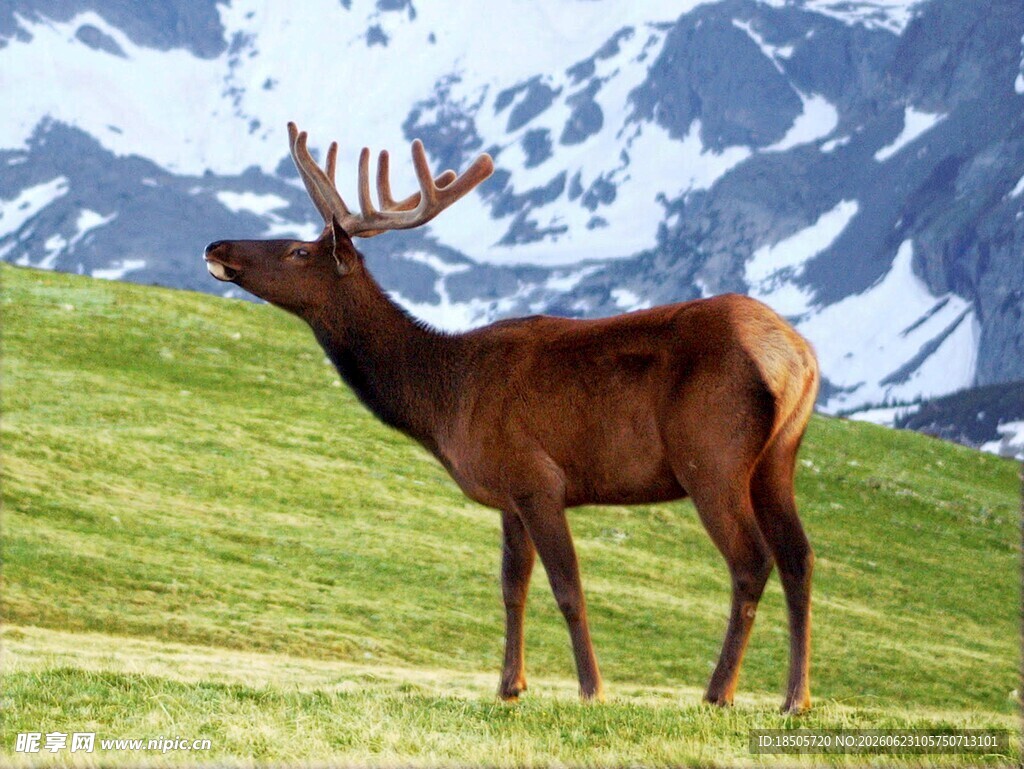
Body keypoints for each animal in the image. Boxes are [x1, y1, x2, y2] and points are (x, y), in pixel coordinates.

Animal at [204, 122, 820, 714]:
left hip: (710, 455)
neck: (444, 400)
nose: (216, 244)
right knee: (799, 557)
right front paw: (509, 686)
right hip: (778, 457)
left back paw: (719, 692)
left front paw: (591, 690)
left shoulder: (536, 477)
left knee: (751, 561)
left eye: (297, 252)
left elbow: (568, 588)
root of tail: (796, 355)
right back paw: (795, 698)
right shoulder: (507, 494)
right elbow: (511, 587)